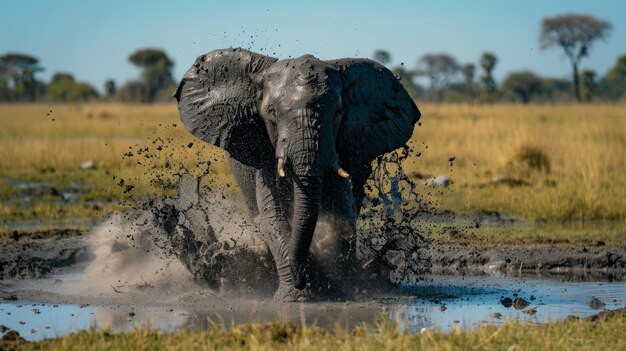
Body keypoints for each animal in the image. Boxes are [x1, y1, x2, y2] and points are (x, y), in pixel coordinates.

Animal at [173, 47, 422, 302]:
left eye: (338, 113)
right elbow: (273, 214)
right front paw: (297, 297)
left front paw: (341, 288)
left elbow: (342, 213)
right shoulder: (266, 152)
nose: (300, 279)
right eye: (271, 114)